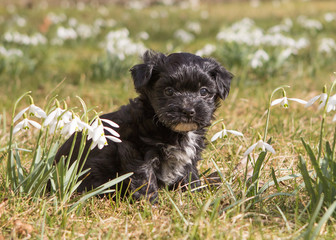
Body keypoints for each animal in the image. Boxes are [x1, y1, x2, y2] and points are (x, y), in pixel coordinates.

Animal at [55, 49, 234, 202]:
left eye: (203, 91)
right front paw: (150, 203)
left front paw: (194, 191)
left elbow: (189, 172)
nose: (188, 111)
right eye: (169, 91)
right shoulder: (136, 151)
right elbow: (144, 177)